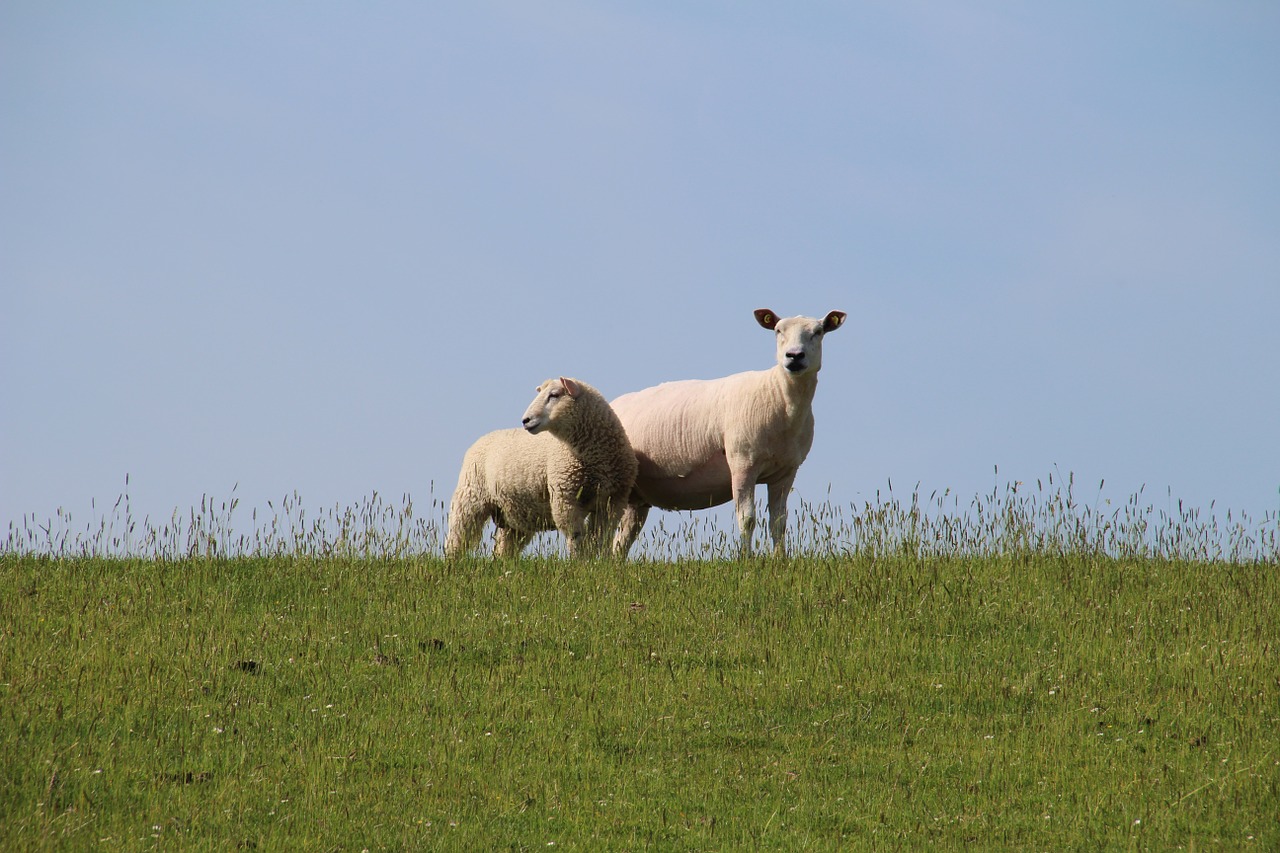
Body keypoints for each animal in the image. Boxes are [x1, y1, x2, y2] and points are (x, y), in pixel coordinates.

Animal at [445, 376, 640, 558]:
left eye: (554, 394)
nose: (525, 420)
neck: (593, 458)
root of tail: (483, 438)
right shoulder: (565, 497)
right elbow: (576, 537)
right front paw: (581, 562)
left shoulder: (612, 501)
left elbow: (601, 538)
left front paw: (600, 562)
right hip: (470, 498)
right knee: (458, 536)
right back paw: (453, 562)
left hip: (514, 513)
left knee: (504, 547)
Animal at [611, 306, 849, 558]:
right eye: (777, 330)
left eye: (818, 332)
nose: (794, 356)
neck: (779, 397)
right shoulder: (742, 463)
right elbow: (747, 519)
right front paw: (746, 560)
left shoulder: (786, 472)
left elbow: (779, 522)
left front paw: (780, 559)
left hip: (636, 498)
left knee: (621, 540)